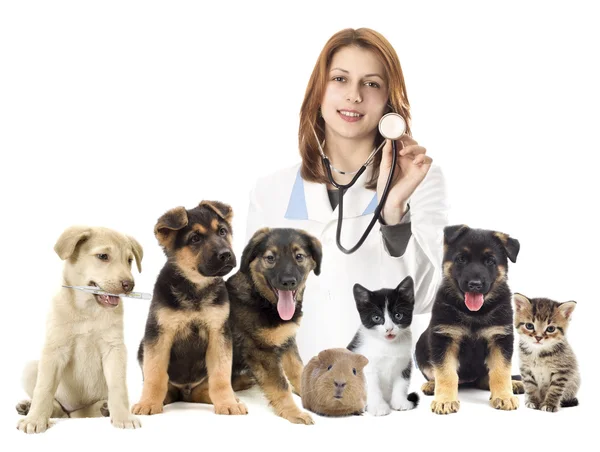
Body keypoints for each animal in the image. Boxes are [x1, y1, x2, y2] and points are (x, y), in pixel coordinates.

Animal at [17, 228, 144, 432]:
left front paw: (123, 417)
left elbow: (118, 387)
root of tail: (74, 412)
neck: (88, 309)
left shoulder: (114, 349)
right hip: (29, 368)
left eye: (129, 260)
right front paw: (34, 420)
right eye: (103, 256)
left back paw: (104, 408)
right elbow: (44, 388)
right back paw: (28, 407)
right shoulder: (55, 349)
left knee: (85, 410)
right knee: (58, 409)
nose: (129, 285)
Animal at [131, 201, 246, 416]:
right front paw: (149, 403)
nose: (226, 254)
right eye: (195, 239)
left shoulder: (219, 333)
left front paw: (227, 403)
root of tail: (185, 393)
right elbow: (155, 374)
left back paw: (230, 398)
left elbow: (221, 376)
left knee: (207, 388)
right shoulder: (159, 333)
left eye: (222, 231)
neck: (195, 288)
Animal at [225, 230, 322, 424]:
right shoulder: (262, 352)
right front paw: (294, 412)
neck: (261, 298)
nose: (288, 282)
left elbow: (298, 371)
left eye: (299, 257)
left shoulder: (287, 341)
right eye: (270, 258)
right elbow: (281, 385)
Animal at [344, 276, 420, 416]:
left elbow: (402, 382)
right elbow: (372, 386)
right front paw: (378, 407)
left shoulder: (404, 362)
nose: (389, 329)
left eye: (398, 315)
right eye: (376, 318)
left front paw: (400, 402)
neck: (387, 345)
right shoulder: (366, 365)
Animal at [414, 224, 524, 414]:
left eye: (490, 261)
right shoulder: (444, 338)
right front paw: (445, 400)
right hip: (421, 344)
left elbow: (501, 371)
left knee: (486, 378)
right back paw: (431, 385)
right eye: (461, 259)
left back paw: (514, 383)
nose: (475, 285)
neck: (474, 314)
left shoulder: (500, 338)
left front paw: (504, 396)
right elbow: (445, 373)